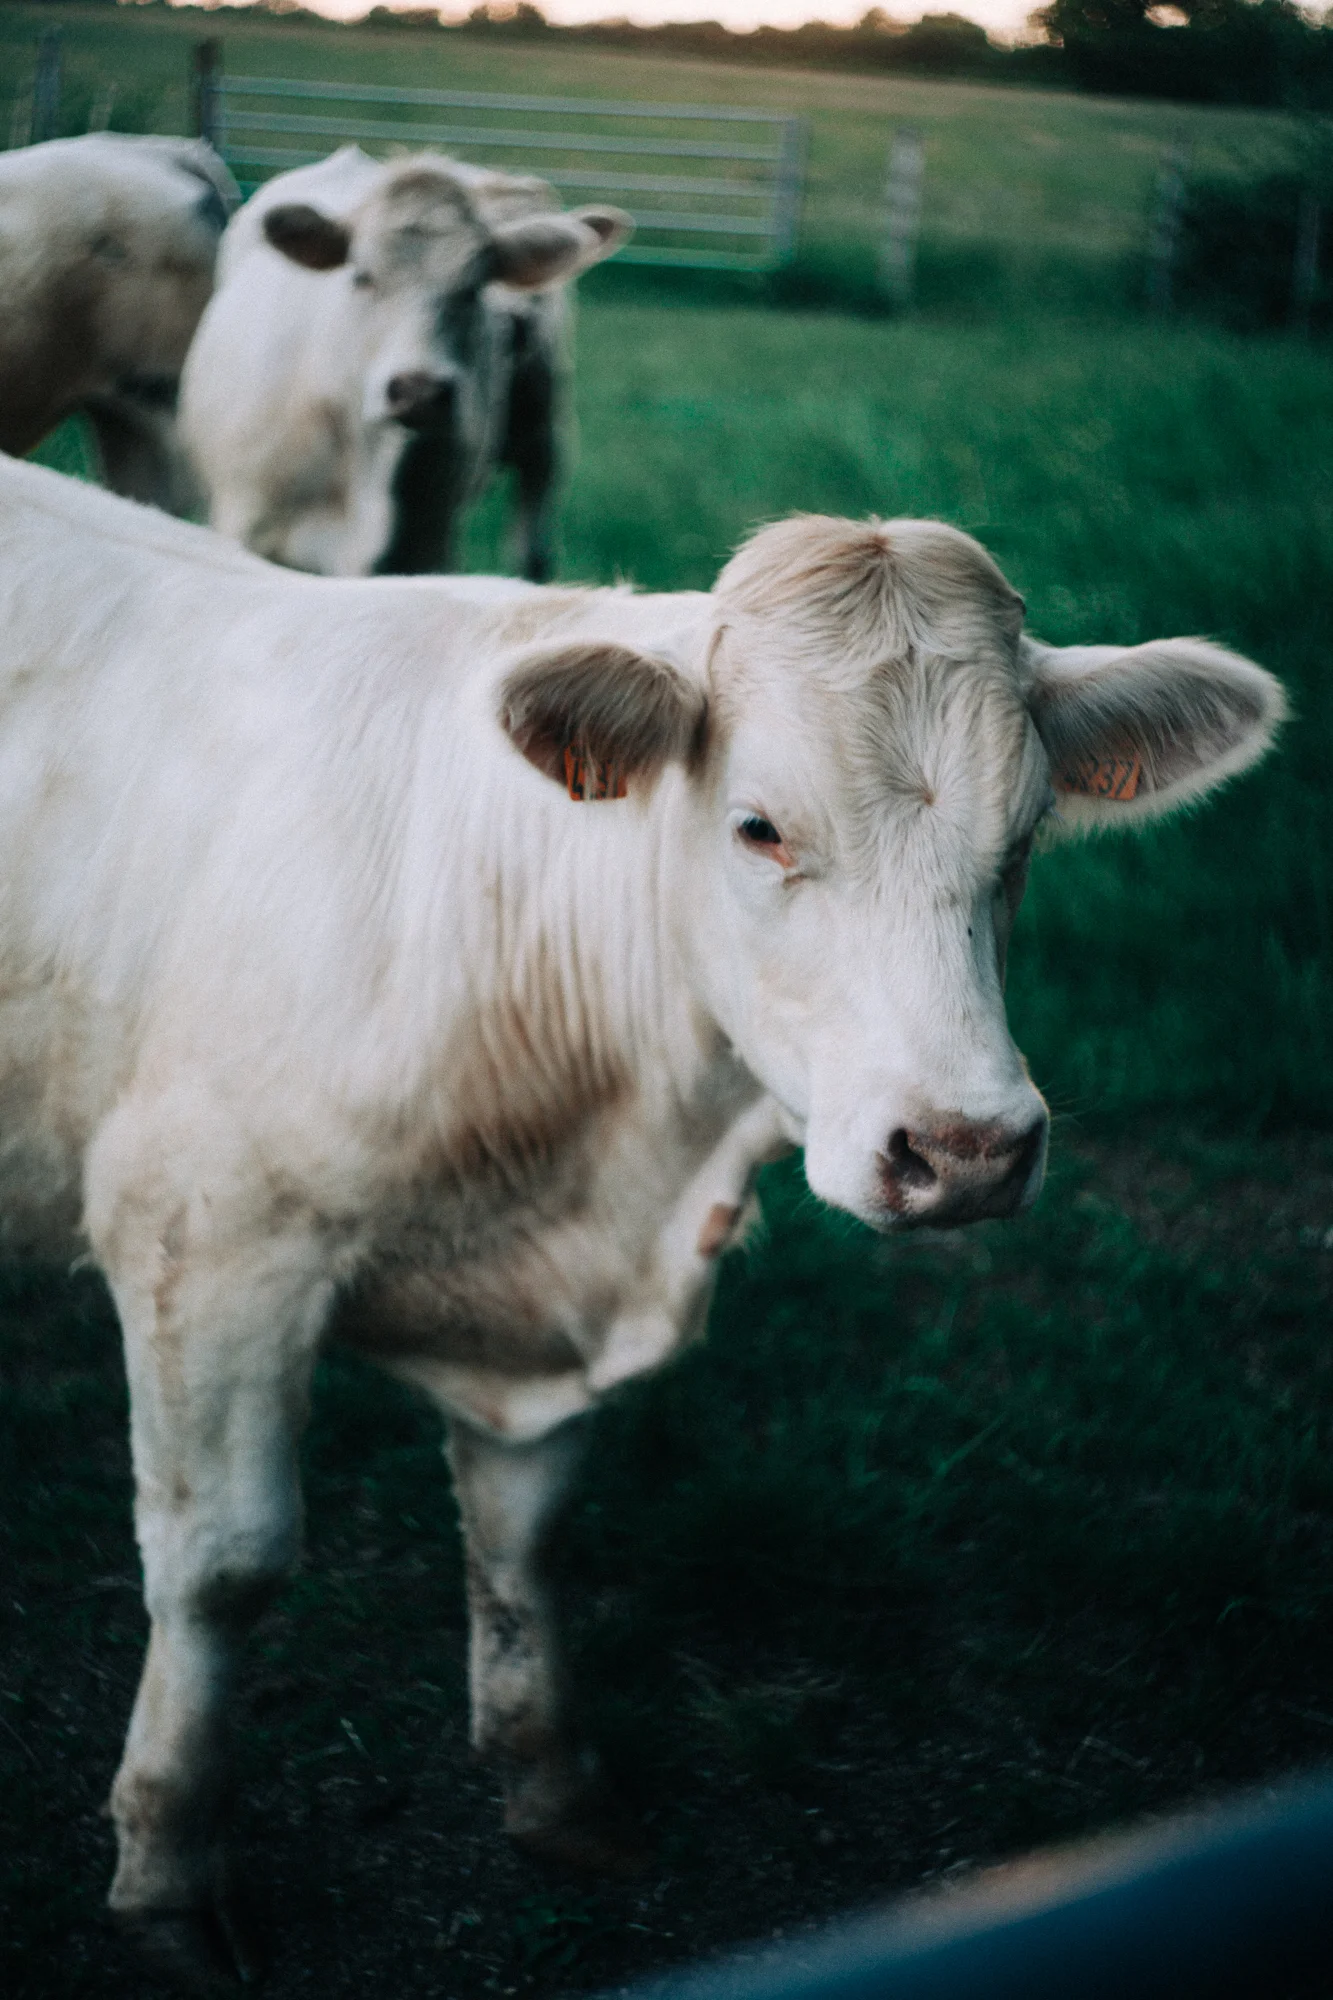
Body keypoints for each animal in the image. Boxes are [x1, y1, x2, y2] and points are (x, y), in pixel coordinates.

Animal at [0, 455, 1283, 1986]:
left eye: (1025, 838)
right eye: (759, 826)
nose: (966, 1147)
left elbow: (526, 1536)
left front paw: (555, 1788)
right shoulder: (204, 1229)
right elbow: (222, 1567)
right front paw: (170, 1876)